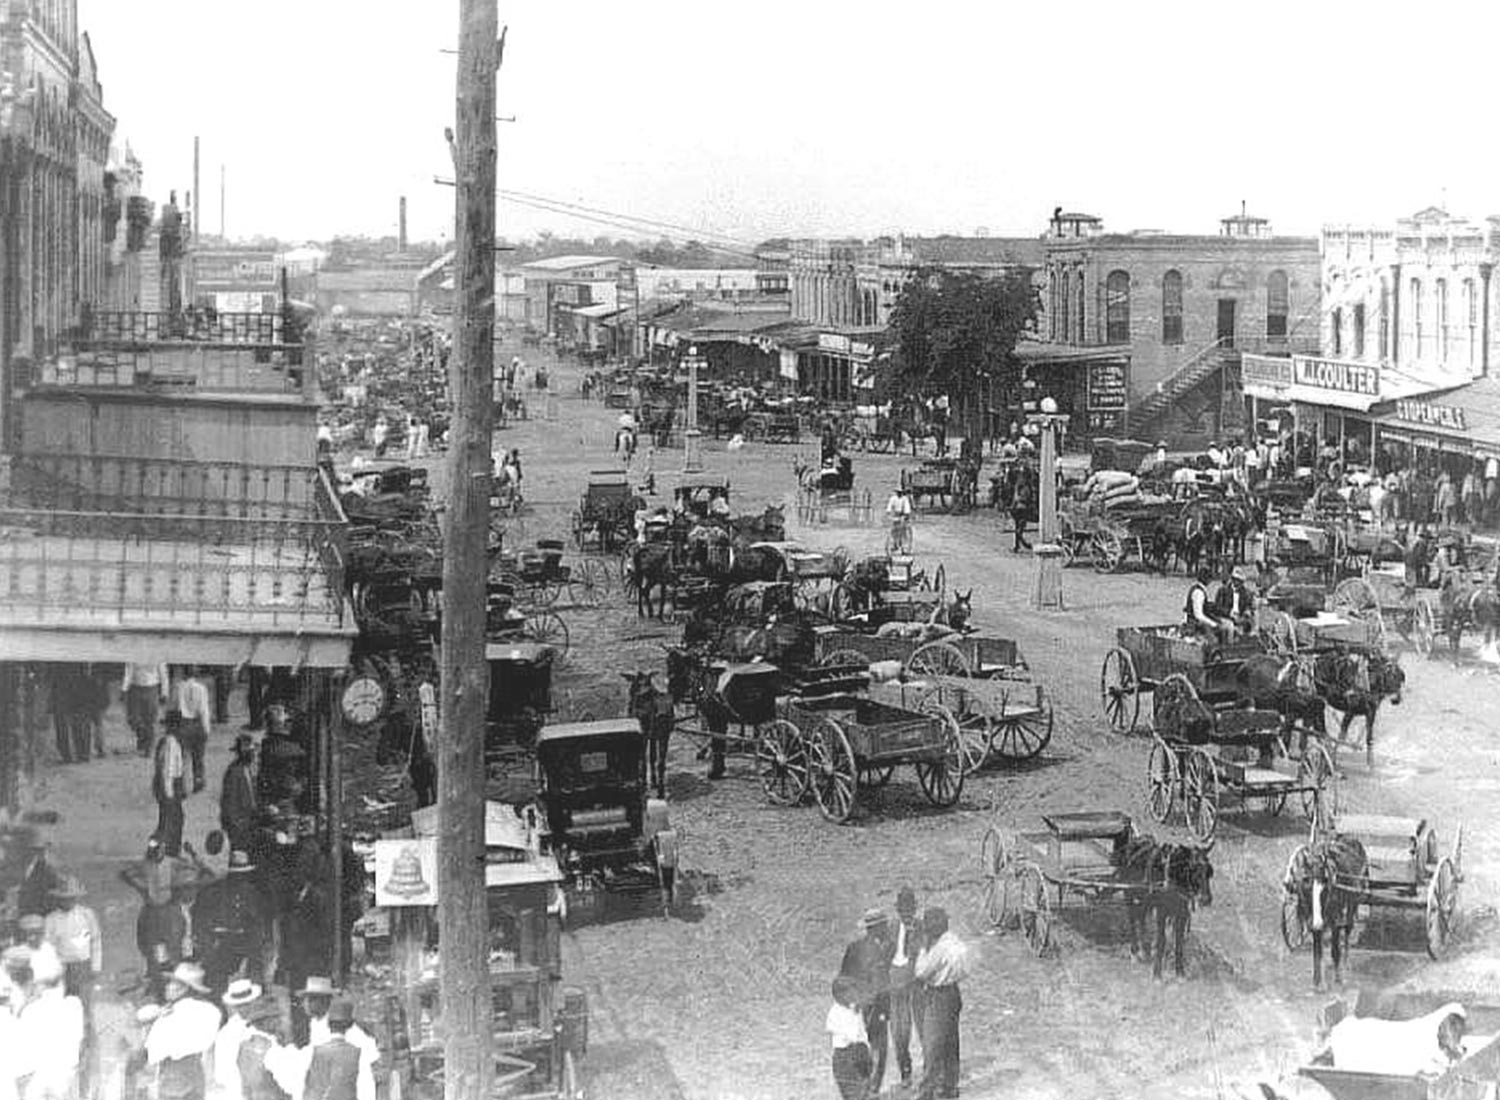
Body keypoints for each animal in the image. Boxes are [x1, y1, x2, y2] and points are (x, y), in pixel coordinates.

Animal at [621, 669, 675, 798]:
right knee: (661, 762)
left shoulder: (645, 735)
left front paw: (648, 782)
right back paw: (660, 791)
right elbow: (652, 756)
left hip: (649, 734)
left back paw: (649, 786)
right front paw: (653, 782)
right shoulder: (654, 735)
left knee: (645, 759)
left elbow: (645, 758)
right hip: (664, 734)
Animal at [1110, 834, 1212, 978]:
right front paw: (1157, 973)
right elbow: (1161, 940)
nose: (1206, 899)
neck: (1172, 876)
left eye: (1209, 871)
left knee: (1141, 918)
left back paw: (1146, 950)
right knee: (1132, 919)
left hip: (1145, 899)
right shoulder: (1161, 911)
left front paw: (1180, 972)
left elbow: (1179, 941)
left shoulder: (1182, 913)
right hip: (1129, 893)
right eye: (1192, 869)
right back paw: (1134, 951)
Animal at [1284, 834, 1368, 984]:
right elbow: (1317, 953)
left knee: (1348, 929)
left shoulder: (1335, 920)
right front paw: (1317, 981)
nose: (1317, 922)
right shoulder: (1313, 922)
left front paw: (1338, 978)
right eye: (1306, 887)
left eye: (1324, 890)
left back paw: (1346, 961)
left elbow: (1335, 950)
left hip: (1353, 900)